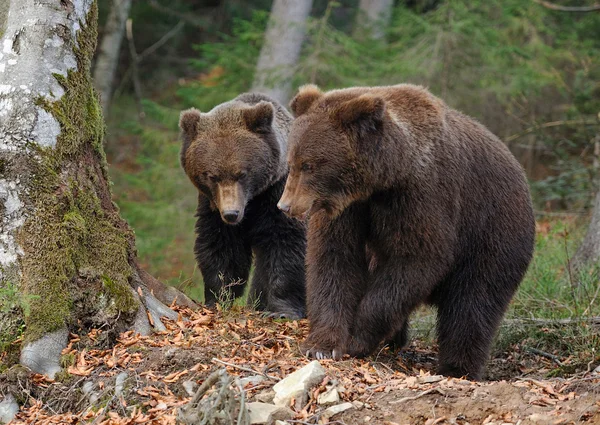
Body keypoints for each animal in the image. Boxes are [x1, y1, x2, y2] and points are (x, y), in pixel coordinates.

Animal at [179, 93, 308, 318]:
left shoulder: (279, 196)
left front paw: (282, 310)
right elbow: (222, 248)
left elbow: (286, 244)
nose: (231, 213)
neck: (253, 200)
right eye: (212, 176)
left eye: (242, 174)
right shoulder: (212, 206)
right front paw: (218, 297)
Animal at [278, 83, 536, 380]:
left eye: (309, 165)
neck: (386, 178)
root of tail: (522, 174)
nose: (285, 205)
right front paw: (322, 345)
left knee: (473, 304)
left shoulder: (424, 197)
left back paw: (457, 368)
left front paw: (357, 338)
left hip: (492, 232)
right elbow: (334, 260)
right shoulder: (350, 209)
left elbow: (416, 259)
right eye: (292, 162)